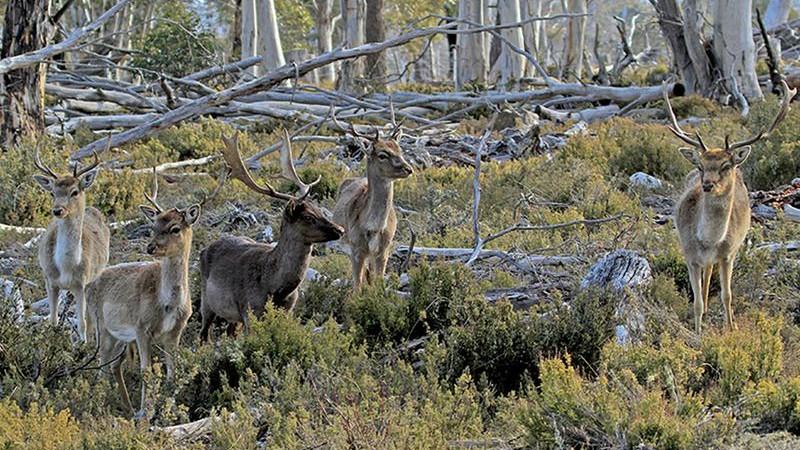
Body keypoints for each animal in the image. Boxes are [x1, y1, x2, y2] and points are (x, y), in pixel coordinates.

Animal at [32, 148, 109, 343]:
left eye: (74, 192)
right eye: (52, 192)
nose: (57, 210)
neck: (66, 267)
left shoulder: (81, 283)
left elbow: (82, 323)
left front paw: (82, 345)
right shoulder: (49, 280)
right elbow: (53, 321)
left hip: (94, 279)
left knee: (90, 318)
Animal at [86, 169, 202, 417]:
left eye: (175, 228)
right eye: (153, 226)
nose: (150, 247)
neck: (168, 304)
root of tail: (88, 284)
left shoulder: (175, 331)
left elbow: (172, 371)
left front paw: (169, 408)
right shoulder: (141, 328)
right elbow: (145, 371)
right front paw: (146, 413)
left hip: (121, 338)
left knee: (114, 365)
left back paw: (127, 407)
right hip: (103, 328)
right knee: (101, 366)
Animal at [199, 131, 344, 341]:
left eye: (319, 209)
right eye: (308, 217)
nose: (340, 229)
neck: (276, 288)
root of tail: (203, 250)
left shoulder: (289, 310)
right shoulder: (250, 310)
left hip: (233, 316)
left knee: (229, 331)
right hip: (206, 300)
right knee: (203, 334)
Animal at [331, 121, 413, 289]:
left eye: (400, 150)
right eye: (382, 155)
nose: (408, 169)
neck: (374, 227)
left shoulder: (384, 249)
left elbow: (378, 283)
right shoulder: (356, 248)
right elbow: (357, 286)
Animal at [667, 80, 795, 334]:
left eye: (726, 165)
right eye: (700, 166)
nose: (707, 184)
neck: (708, 241)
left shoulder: (728, 254)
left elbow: (727, 295)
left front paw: (731, 328)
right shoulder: (689, 254)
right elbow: (696, 302)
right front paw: (698, 332)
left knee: (712, 276)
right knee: (706, 277)